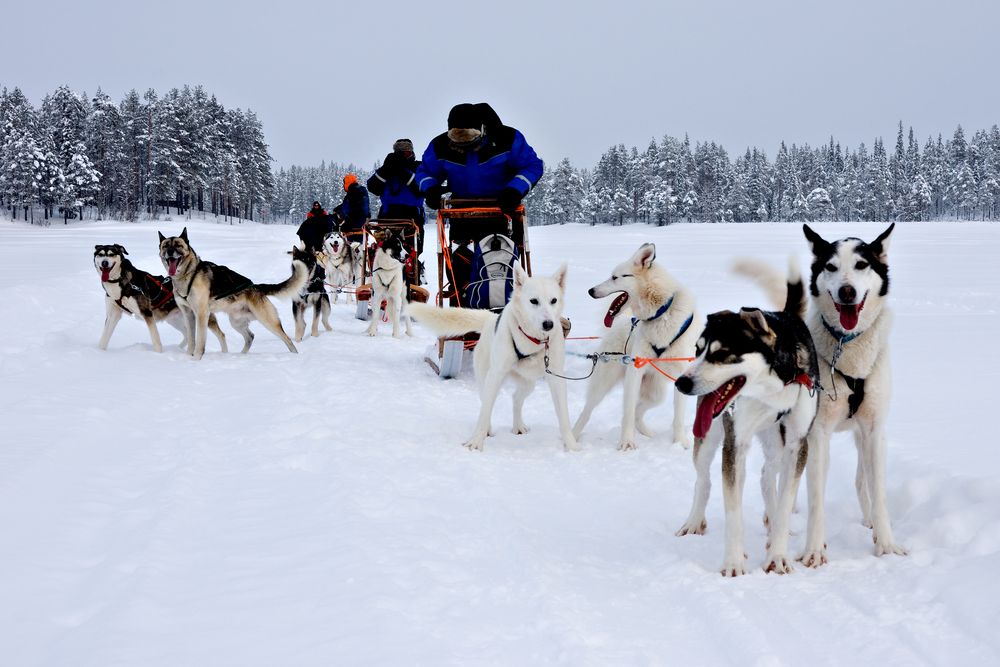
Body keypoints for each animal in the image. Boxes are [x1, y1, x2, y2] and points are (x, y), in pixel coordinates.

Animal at [94, 243, 227, 352]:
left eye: (111, 254)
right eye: (100, 254)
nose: (104, 263)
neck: (120, 281)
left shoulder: (147, 314)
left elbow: (156, 341)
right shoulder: (113, 315)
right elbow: (103, 339)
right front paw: (99, 353)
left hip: (202, 316)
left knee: (221, 334)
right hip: (175, 319)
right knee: (188, 334)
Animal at [158, 228, 306, 360]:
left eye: (178, 245)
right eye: (165, 246)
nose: (169, 252)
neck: (187, 275)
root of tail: (257, 287)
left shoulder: (201, 315)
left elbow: (199, 342)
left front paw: (196, 359)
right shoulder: (188, 314)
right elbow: (191, 339)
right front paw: (188, 357)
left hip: (268, 321)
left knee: (287, 339)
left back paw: (294, 355)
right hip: (236, 322)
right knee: (250, 337)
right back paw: (241, 356)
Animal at [408, 264, 580, 452]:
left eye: (553, 300)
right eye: (534, 301)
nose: (548, 324)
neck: (533, 341)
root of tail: (491, 317)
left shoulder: (556, 378)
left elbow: (564, 416)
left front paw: (572, 446)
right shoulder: (495, 375)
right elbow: (484, 412)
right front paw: (476, 441)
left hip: (528, 383)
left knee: (516, 398)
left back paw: (518, 426)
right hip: (487, 379)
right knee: (485, 403)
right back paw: (488, 430)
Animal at [572, 243, 696, 452]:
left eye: (615, 277)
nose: (590, 290)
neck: (660, 315)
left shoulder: (680, 376)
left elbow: (678, 417)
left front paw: (680, 442)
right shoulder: (635, 372)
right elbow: (627, 413)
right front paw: (626, 443)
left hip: (656, 393)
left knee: (639, 410)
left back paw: (646, 431)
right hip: (604, 383)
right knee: (588, 410)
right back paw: (572, 436)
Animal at [672, 264, 820, 576]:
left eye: (721, 354)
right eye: (697, 350)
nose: (681, 383)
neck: (772, 389)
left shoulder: (797, 443)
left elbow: (785, 501)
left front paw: (778, 555)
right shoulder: (735, 442)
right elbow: (733, 510)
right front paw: (733, 561)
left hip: (776, 443)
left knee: (766, 476)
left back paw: (772, 525)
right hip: (712, 437)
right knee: (704, 480)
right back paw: (694, 521)